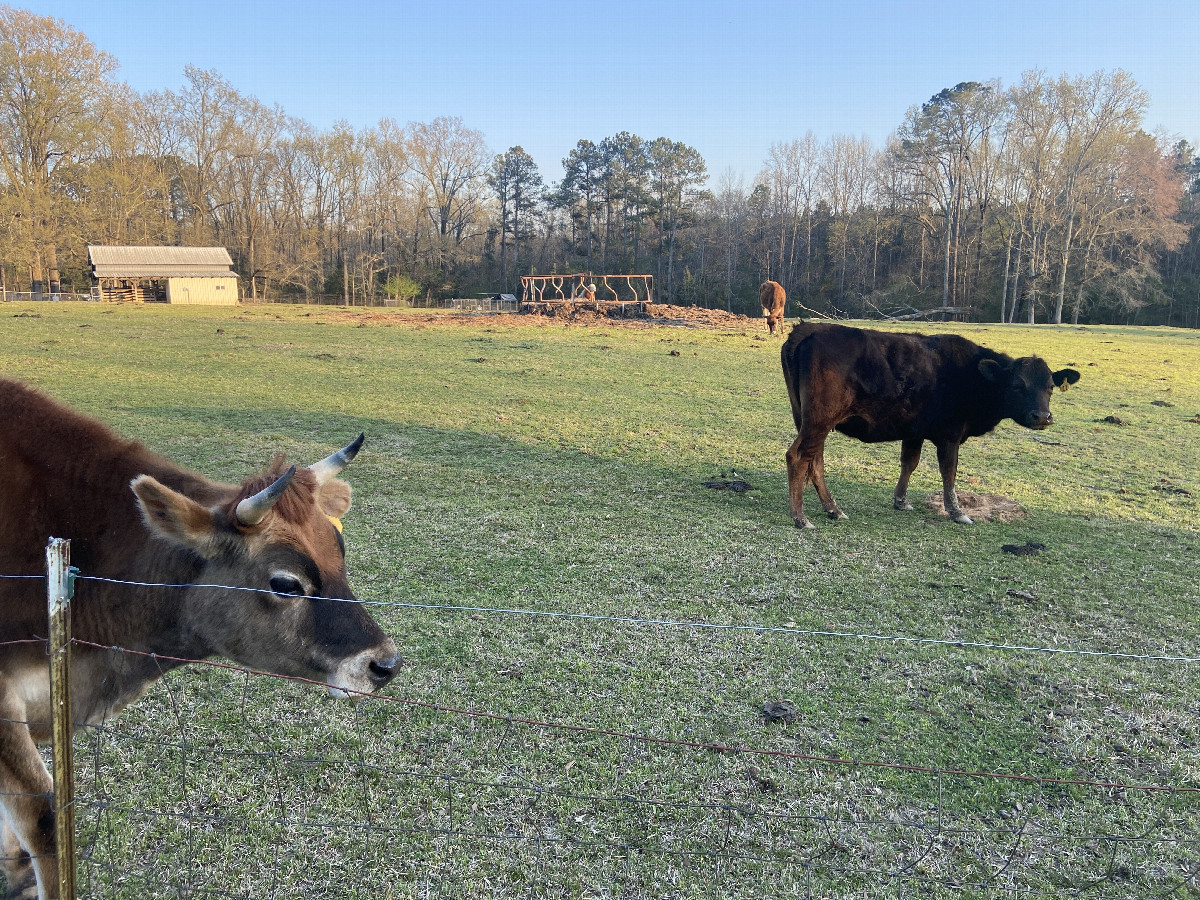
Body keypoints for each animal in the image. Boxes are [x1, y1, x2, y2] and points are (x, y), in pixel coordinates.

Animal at [782, 321, 1084, 528]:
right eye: (1018, 386)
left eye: (1050, 386)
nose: (1042, 417)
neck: (973, 375)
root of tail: (808, 329)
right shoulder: (950, 435)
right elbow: (949, 472)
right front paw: (957, 512)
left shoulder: (913, 431)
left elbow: (909, 463)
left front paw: (901, 501)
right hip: (819, 420)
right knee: (798, 456)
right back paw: (800, 518)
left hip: (812, 422)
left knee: (815, 460)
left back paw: (833, 509)